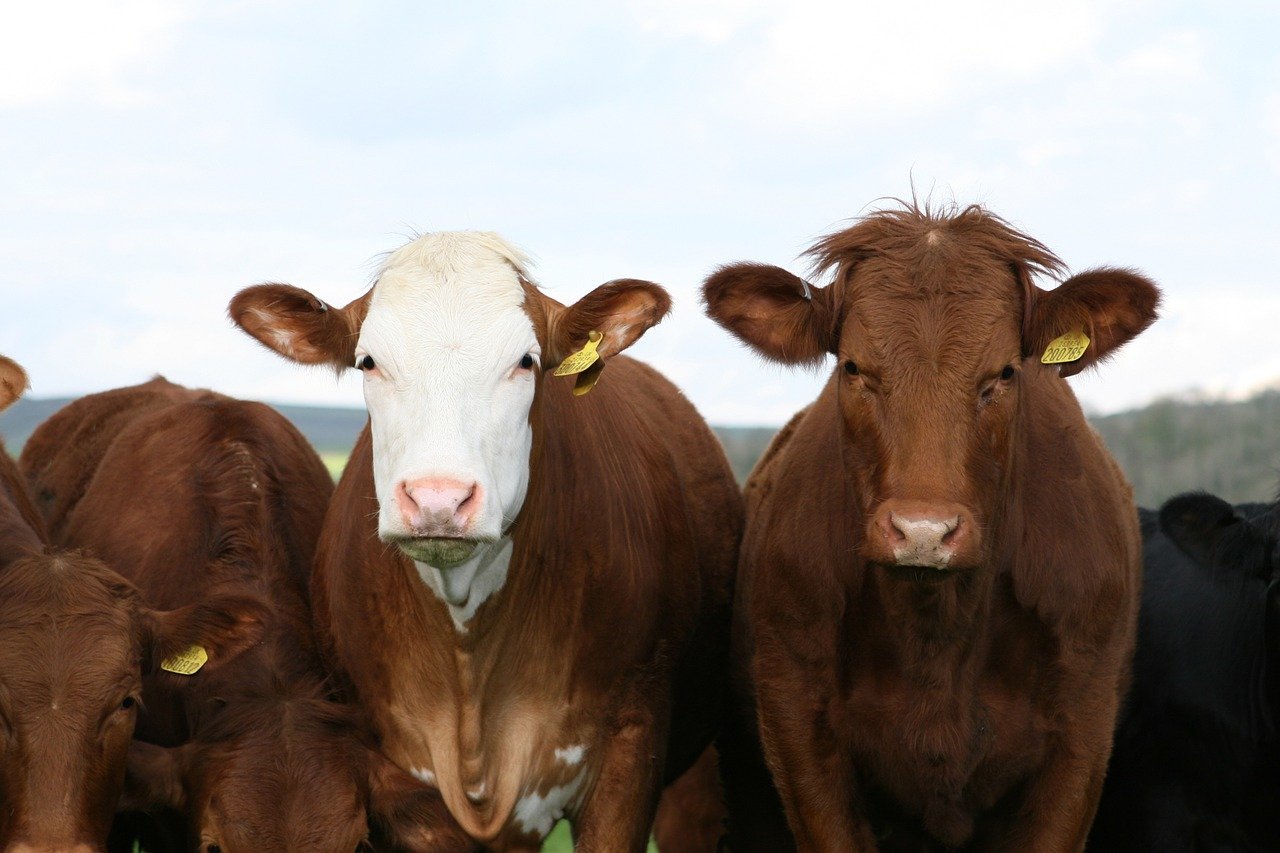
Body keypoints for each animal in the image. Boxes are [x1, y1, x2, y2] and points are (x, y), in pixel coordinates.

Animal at [701, 202, 1162, 845]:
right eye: (852, 367)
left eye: (1005, 373)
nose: (924, 532)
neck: (938, 635)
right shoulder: (798, 732)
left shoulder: (1081, 736)